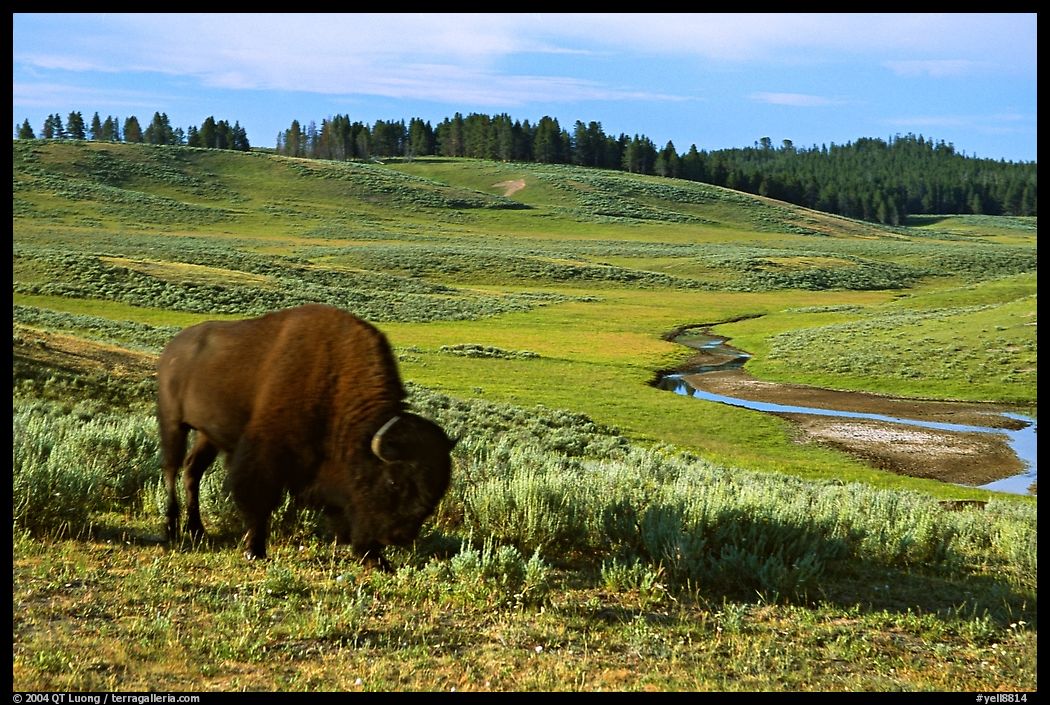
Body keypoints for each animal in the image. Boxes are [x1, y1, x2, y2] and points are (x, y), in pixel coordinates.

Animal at [156, 304, 454, 570]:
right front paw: (255, 550)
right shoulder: (264, 456)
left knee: (192, 470)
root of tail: (173, 347)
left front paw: (375, 559)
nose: (398, 537)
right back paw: (172, 528)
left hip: (208, 436)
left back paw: (197, 530)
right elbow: (260, 500)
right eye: (393, 482)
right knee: (172, 468)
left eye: (437, 491)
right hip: (173, 422)